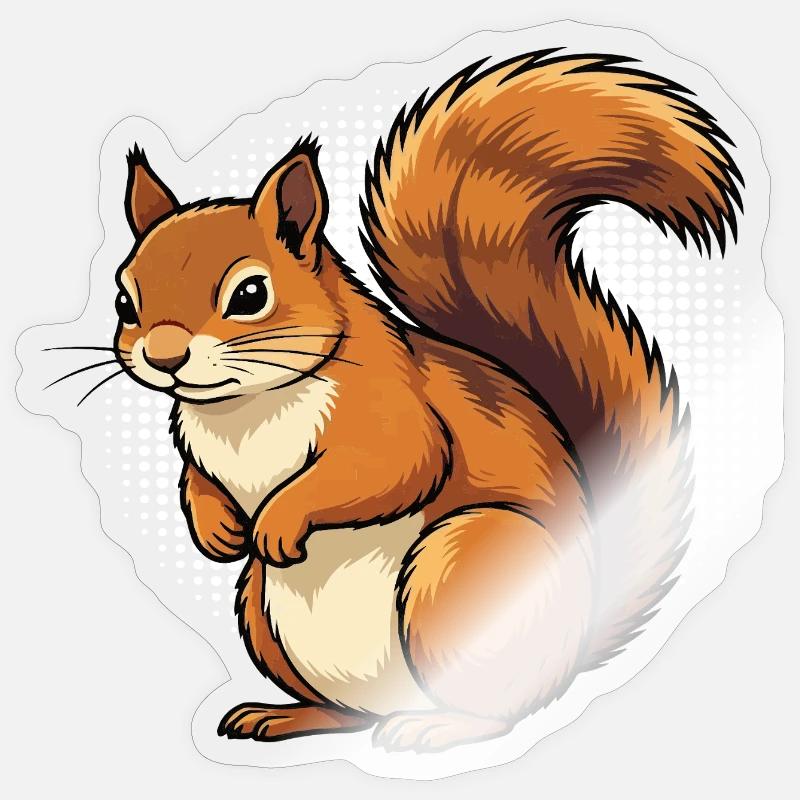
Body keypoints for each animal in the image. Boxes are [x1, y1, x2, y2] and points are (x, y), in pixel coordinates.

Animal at [115, 51, 742, 752]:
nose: (163, 357)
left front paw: (278, 518)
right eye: (124, 298)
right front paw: (217, 530)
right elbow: (196, 481)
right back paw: (285, 716)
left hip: (460, 570)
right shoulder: (197, 446)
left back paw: (441, 726)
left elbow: (392, 465)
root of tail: (574, 648)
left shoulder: (392, 407)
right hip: (260, 609)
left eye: (250, 294)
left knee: (501, 709)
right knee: (347, 711)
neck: (244, 407)